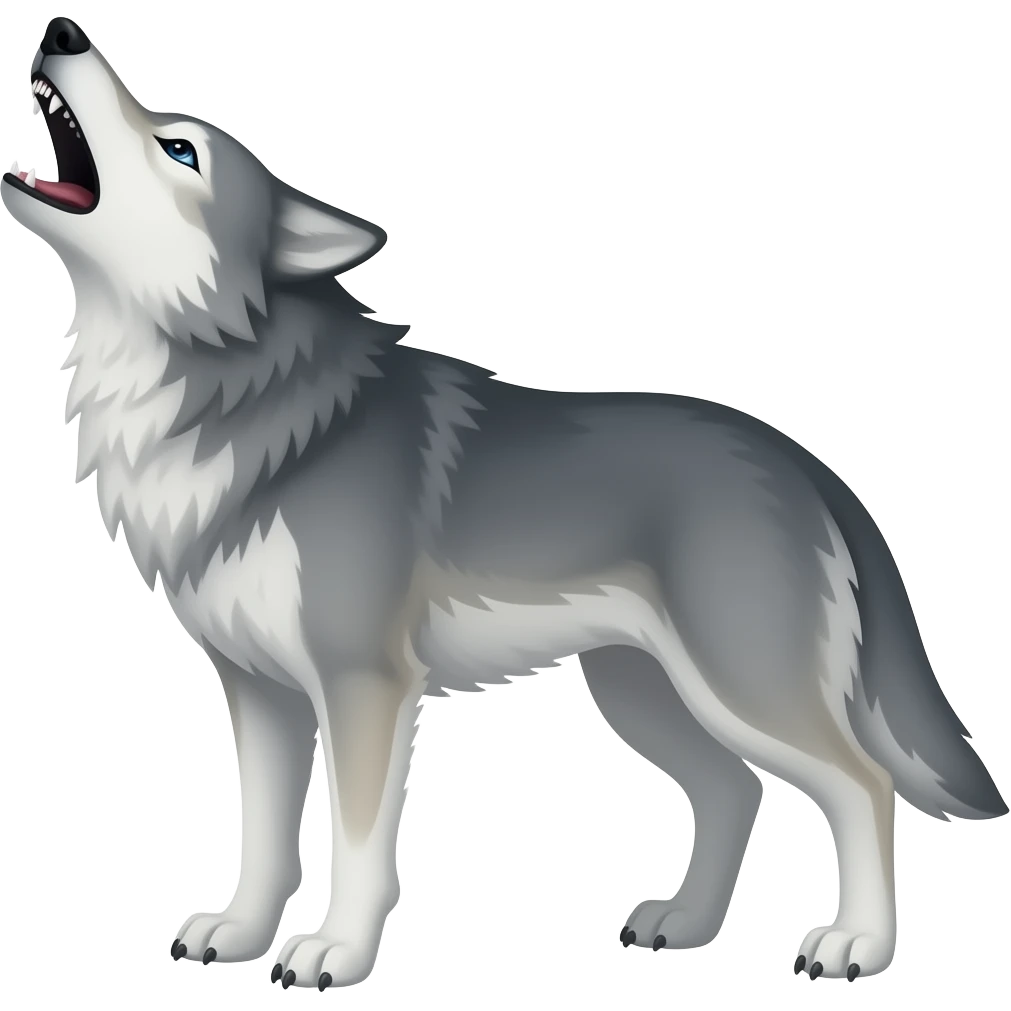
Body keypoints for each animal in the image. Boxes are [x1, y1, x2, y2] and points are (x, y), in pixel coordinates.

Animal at [3, 16, 1005, 991]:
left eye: (178, 148)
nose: (61, 30)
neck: (237, 391)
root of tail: (806, 463)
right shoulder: (259, 692)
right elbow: (263, 839)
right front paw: (244, 933)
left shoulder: (364, 684)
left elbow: (357, 847)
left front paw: (335, 953)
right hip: (640, 693)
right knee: (735, 789)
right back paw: (685, 925)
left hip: (737, 687)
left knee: (861, 785)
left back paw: (855, 945)